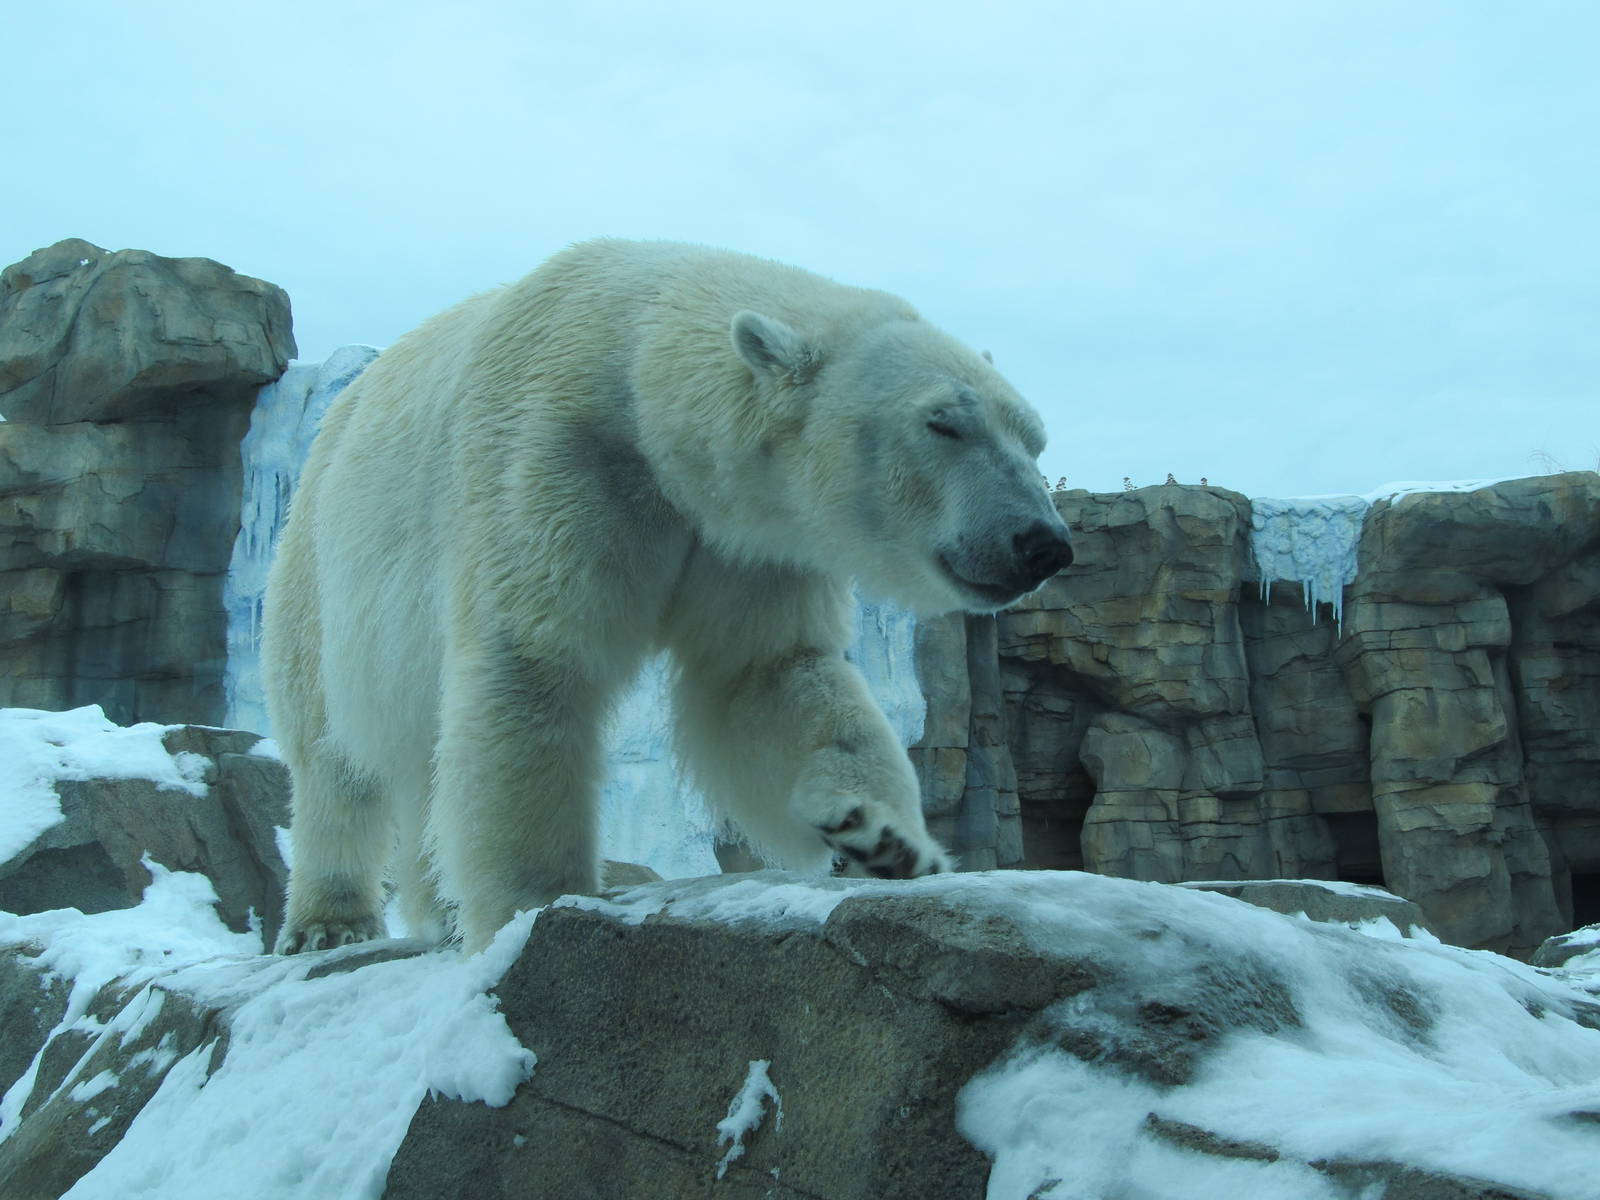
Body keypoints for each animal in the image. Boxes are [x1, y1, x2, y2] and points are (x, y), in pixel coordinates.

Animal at [264, 239, 1074, 953]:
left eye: (1033, 438)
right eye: (943, 423)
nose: (1043, 543)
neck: (634, 373)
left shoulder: (741, 541)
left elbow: (767, 673)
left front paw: (884, 836)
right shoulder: (554, 459)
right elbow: (533, 661)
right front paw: (532, 905)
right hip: (319, 565)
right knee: (330, 753)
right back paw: (331, 920)